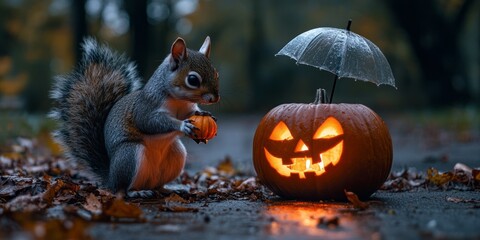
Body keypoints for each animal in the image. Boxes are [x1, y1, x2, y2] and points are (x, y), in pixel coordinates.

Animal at [50, 36, 219, 197]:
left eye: (215, 73)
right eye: (192, 80)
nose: (215, 98)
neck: (179, 100)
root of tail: (111, 178)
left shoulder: (186, 108)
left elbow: (191, 112)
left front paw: (202, 113)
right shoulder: (146, 106)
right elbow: (149, 122)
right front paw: (183, 125)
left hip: (176, 155)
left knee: (158, 185)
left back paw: (169, 189)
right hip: (129, 156)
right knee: (124, 189)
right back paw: (137, 192)